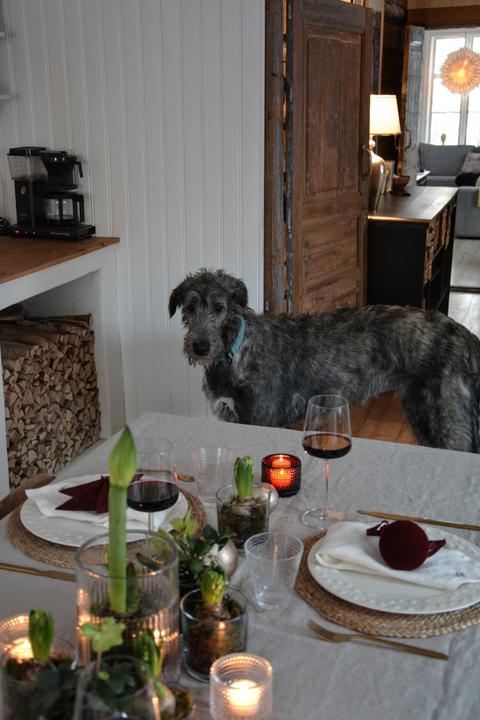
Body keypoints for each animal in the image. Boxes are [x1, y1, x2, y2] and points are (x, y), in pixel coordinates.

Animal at [169, 268, 480, 453]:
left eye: (220, 307)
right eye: (190, 306)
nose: (199, 347)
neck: (235, 350)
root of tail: (465, 335)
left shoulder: (261, 419)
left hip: (446, 422)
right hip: (422, 414)